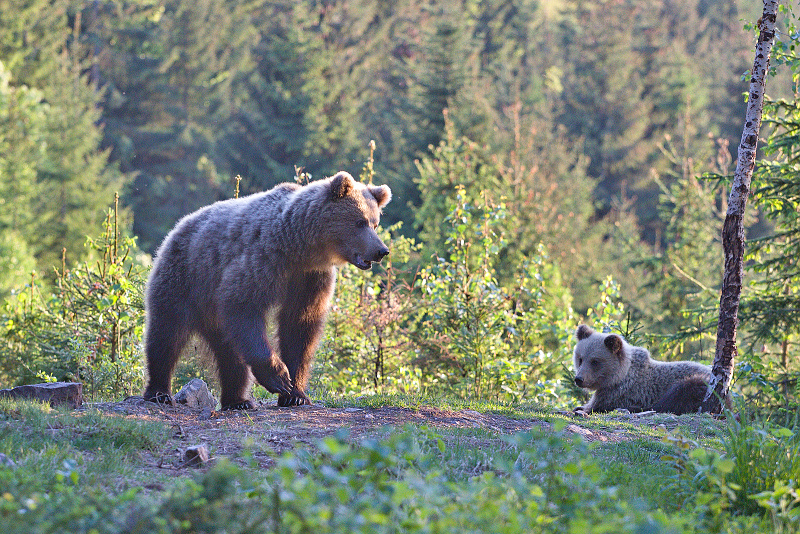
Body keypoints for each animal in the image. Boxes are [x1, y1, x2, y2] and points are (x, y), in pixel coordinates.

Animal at [145, 172, 396, 410]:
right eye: (360, 222)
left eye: (375, 223)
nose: (381, 250)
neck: (301, 248)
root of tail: (180, 225)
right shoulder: (264, 258)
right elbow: (243, 305)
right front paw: (279, 378)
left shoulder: (310, 278)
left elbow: (300, 326)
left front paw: (295, 394)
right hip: (185, 279)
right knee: (166, 334)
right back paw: (159, 392)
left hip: (210, 311)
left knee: (228, 352)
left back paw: (238, 400)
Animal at [572, 324, 716, 416]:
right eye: (580, 359)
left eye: (595, 361)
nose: (579, 379)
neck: (619, 376)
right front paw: (580, 406)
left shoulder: (620, 392)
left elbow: (600, 405)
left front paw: (583, 409)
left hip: (700, 384)